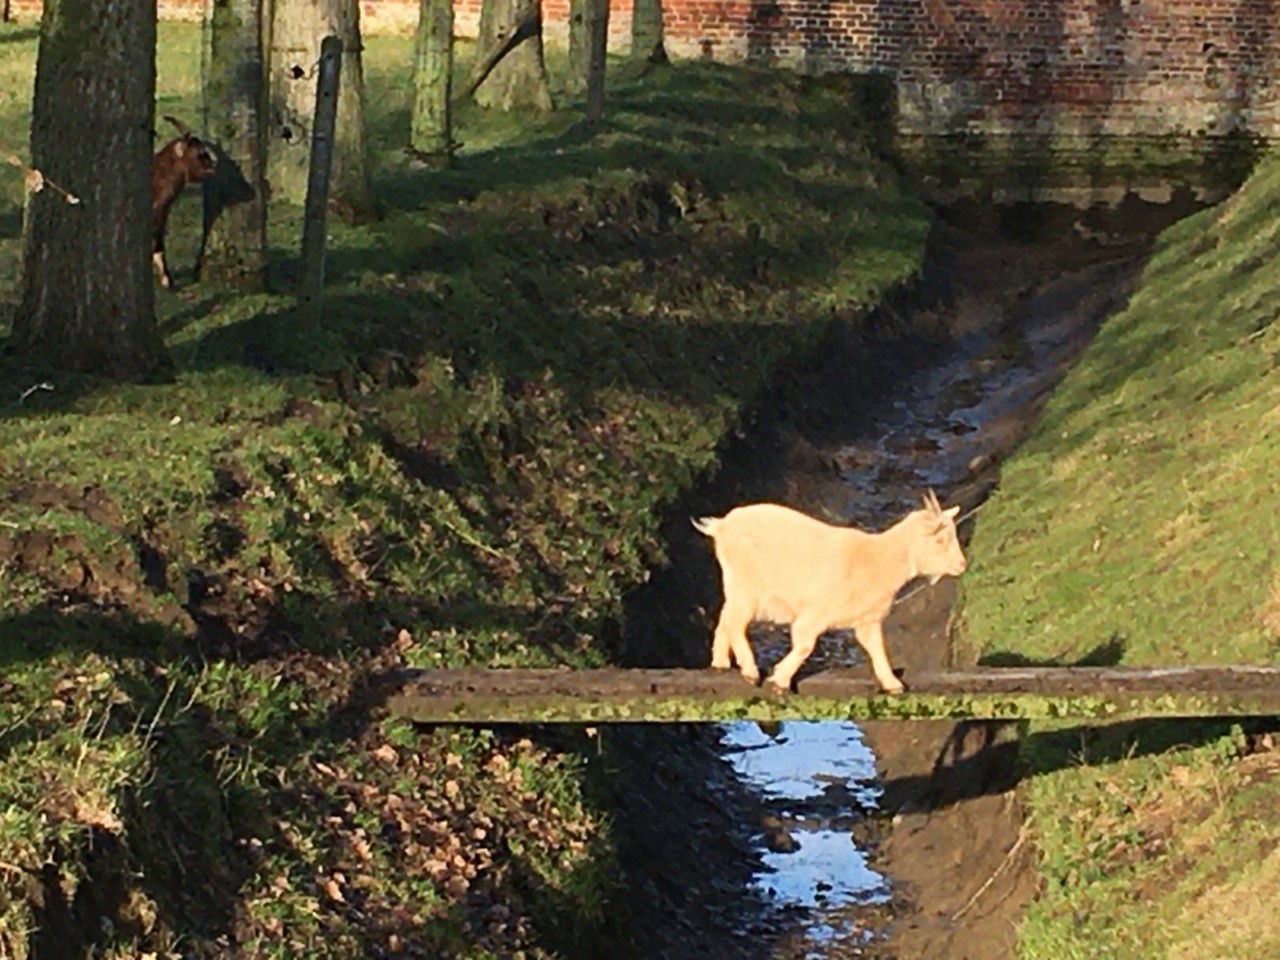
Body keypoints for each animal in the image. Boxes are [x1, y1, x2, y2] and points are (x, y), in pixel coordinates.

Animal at [696, 496, 962, 701]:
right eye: (939, 540)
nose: (962, 565)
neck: (878, 559)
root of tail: (721, 526)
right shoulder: (816, 613)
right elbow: (805, 645)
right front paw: (780, 680)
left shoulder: (868, 620)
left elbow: (877, 648)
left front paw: (893, 684)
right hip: (748, 588)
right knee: (736, 623)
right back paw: (750, 671)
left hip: (738, 588)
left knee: (726, 618)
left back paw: (721, 663)